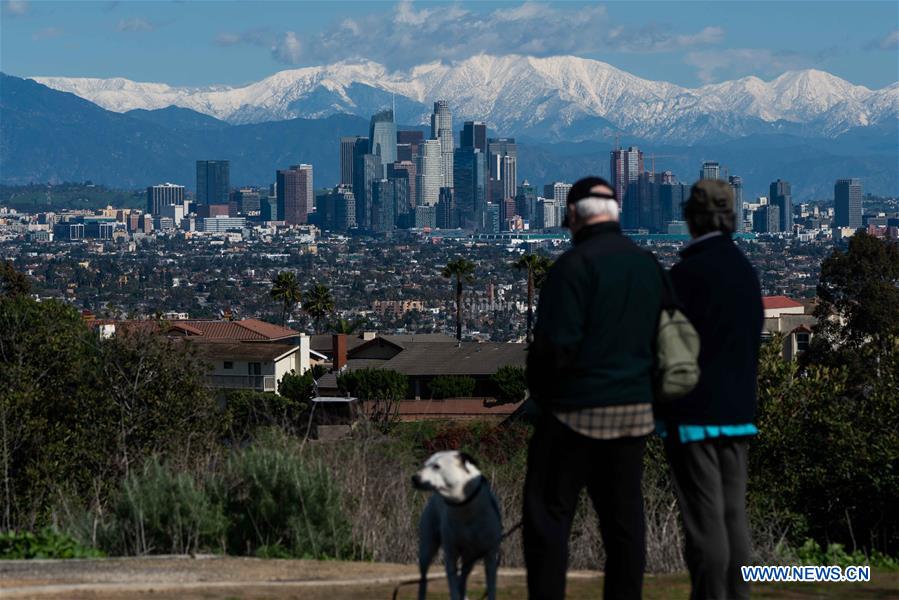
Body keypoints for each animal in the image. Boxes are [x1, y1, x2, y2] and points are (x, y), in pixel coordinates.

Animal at [412, 450, 502, 600]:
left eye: (436, 466)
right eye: (425, 464)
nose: (414, 478)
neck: (463, 506)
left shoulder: (490, 556)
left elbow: (491, 589)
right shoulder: (450, 554)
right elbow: (453, 585)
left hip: (470, 558)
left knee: (463, 578)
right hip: (427, 547)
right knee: (424, 577)